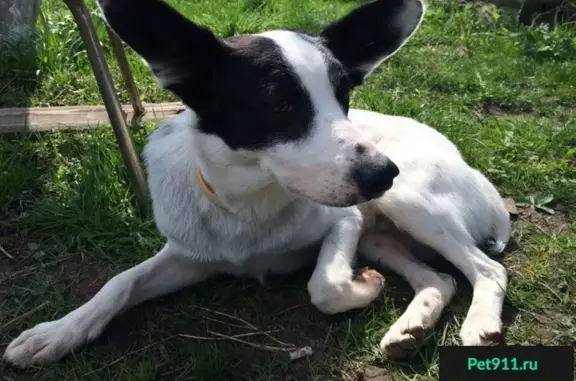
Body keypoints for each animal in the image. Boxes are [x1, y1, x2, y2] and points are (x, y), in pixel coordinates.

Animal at [3, 0, 508, 366]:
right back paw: (411, 328)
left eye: (344, 96)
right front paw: (58, 332)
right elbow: (119, 283)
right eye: (279, 104)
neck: (249, 206)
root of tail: (478, 177)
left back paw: (478, 323)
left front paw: (361, 287)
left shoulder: (344, 221)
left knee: (487, 269)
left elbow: (324, 286)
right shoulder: (190, 254)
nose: (383, 172)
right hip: (381, 235)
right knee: (440, 279)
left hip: (408, 202)